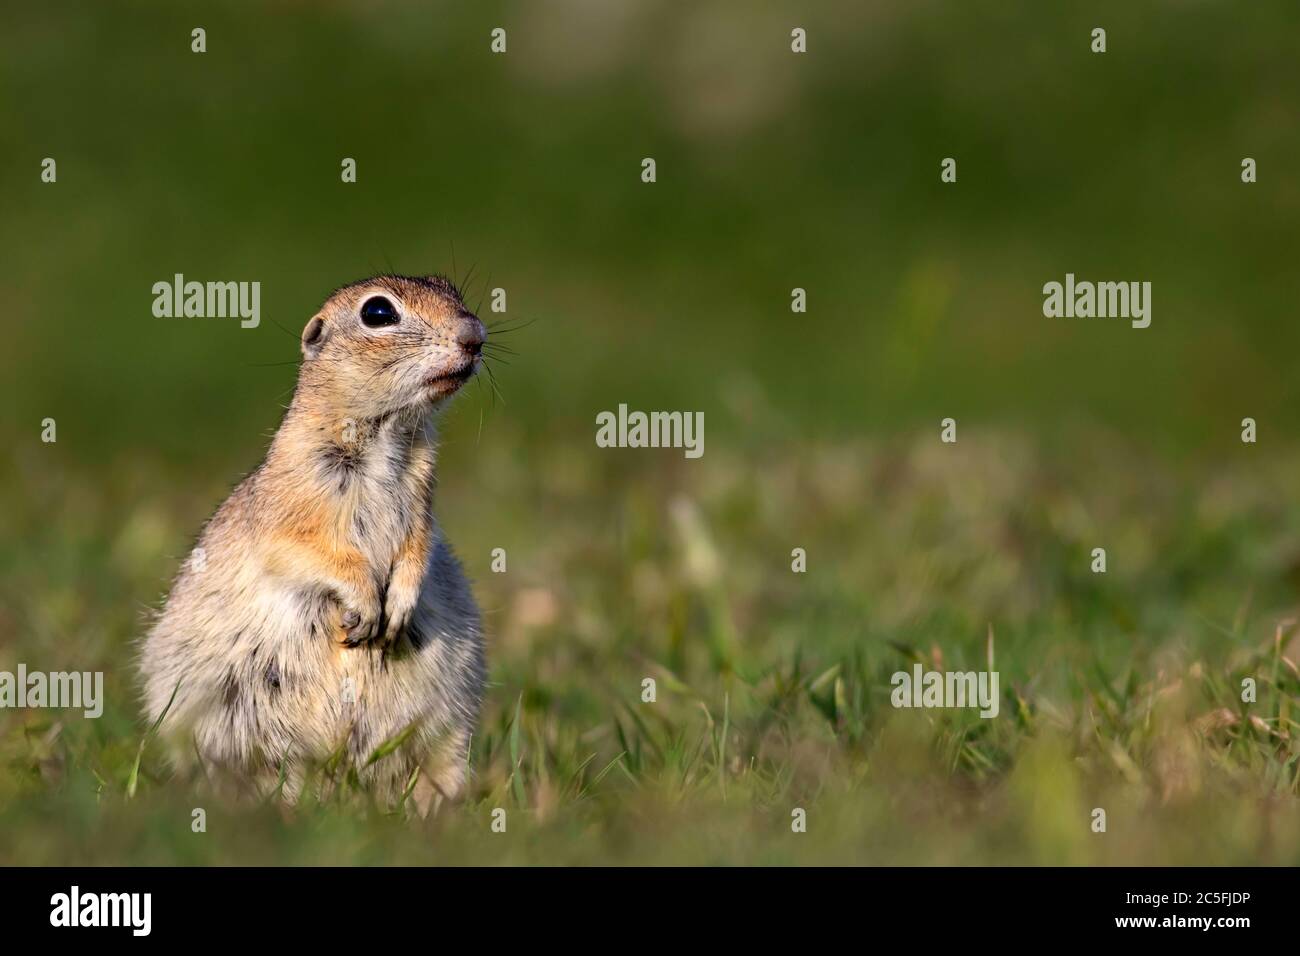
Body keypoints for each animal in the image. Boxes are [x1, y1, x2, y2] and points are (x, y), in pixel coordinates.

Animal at [139, 273, 488, 811]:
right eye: (378, 313)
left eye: (452, 290)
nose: (475, 335)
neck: (388, 434)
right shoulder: (290, 508)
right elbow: (306, 552)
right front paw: (365, 605)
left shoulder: (422, 508)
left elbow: (416, 550)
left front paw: (399, 607)